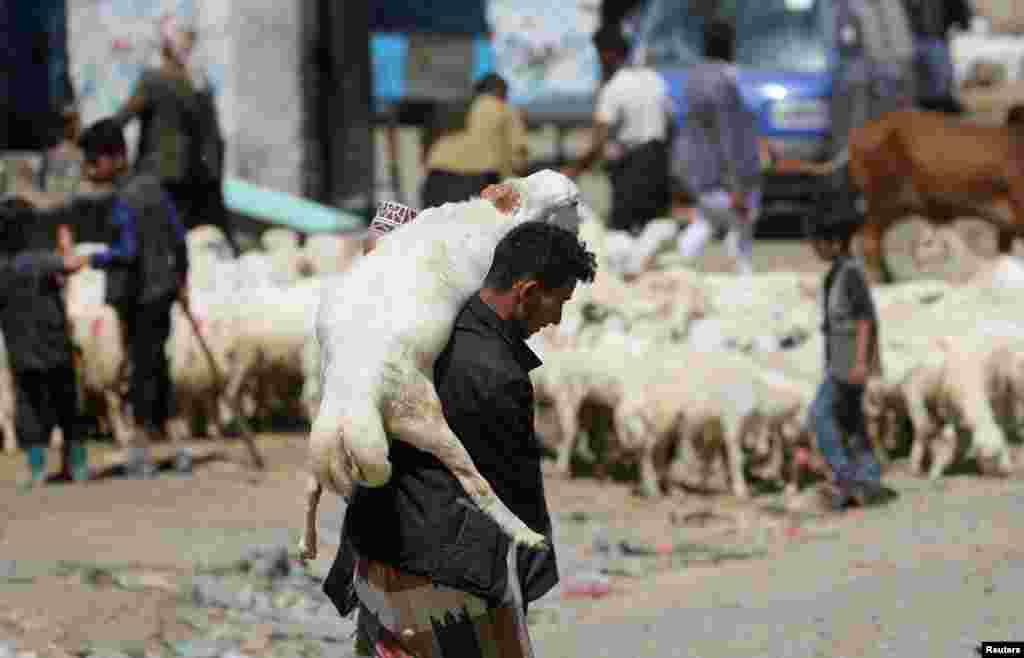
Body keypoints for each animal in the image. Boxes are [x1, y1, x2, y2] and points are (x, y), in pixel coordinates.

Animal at [299, 169, 593, 560]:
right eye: (572, 202)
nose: (586, 224)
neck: (492, 215)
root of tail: (353, 404)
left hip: (322, 432)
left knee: (311, 484)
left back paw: (306, 543)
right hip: (429, 423)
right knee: (477, 483)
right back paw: (525, 534)